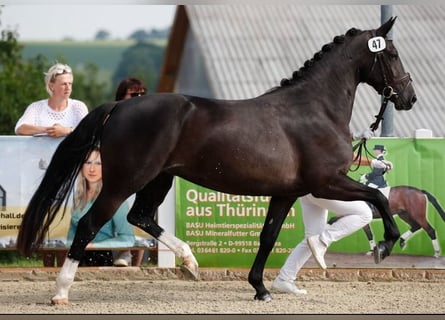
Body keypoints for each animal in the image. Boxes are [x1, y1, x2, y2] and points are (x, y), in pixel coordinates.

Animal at [15, 17, 414, 302]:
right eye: (393, 55)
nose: (408, 97)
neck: (315, 109)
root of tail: (120, 106)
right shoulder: (327, 181)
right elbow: (376, 199)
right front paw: (386, 244)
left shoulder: (286, 192)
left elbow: (268, 236)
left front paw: (261, 288)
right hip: (124, 182)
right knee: (89, 225)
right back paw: (61, 292)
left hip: (159, 179)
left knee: (139, 216)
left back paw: (190, 262)